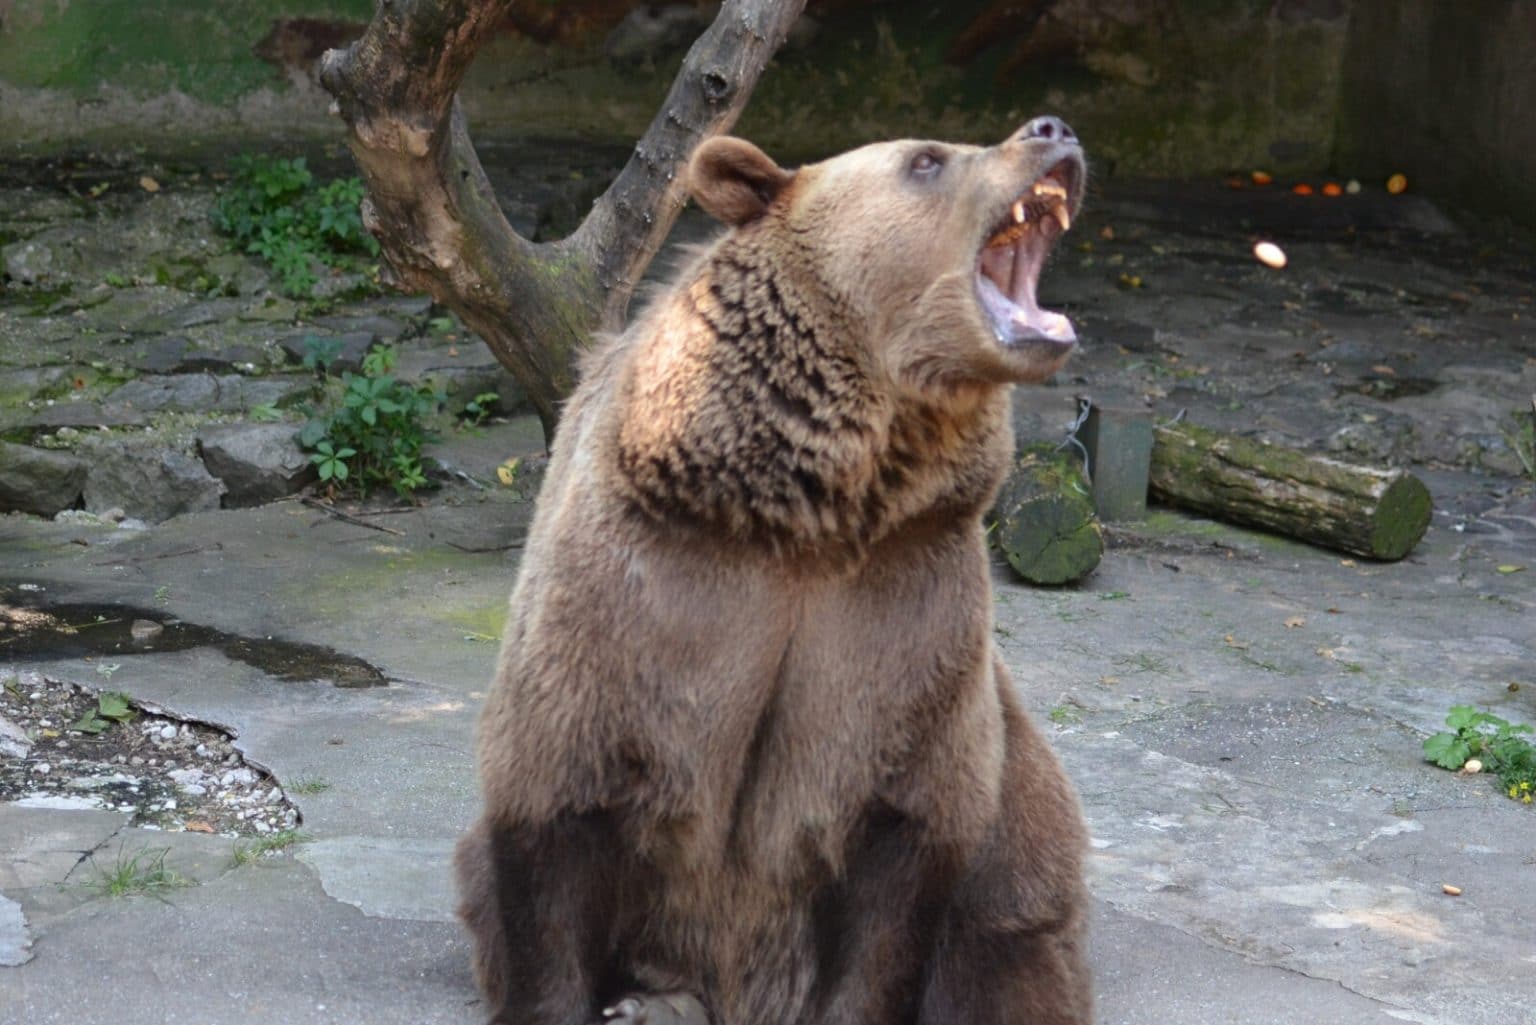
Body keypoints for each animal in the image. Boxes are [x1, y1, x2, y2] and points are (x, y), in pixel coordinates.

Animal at [456, 115, 1093, 1025]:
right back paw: (655, 1000)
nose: (1053, 128)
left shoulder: (904, 602)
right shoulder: (644, 589)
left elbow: (896, 850)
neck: (807, 512)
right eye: (927, 160)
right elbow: (555, 813)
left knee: (1007, 953)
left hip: (1020, 857)